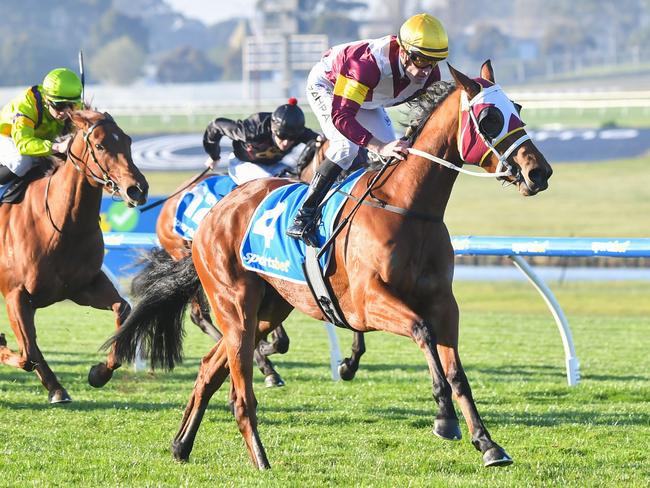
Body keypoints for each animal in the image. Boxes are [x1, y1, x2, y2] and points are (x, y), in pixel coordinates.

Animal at [0, 110, 148, 404]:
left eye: (127, 140)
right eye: (100, 146)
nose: (137, 189)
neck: (61, 224)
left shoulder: (83, 286)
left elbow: (123, 309)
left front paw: (99, 372)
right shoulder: (15, 294)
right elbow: (26, 355)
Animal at [109, 62, 548, 468]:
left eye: (518, 108)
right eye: (489, 117)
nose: (538, 171)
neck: (407, 208)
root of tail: (214, 212)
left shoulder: (444, 304)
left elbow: (457, 373)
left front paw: (488, 444)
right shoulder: (369, 302)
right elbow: (422, 333)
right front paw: (444, 420)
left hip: (268, 309)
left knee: (209, 369)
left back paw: (181, 445)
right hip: (234, 304)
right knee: (238, 386)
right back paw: (260, 457)